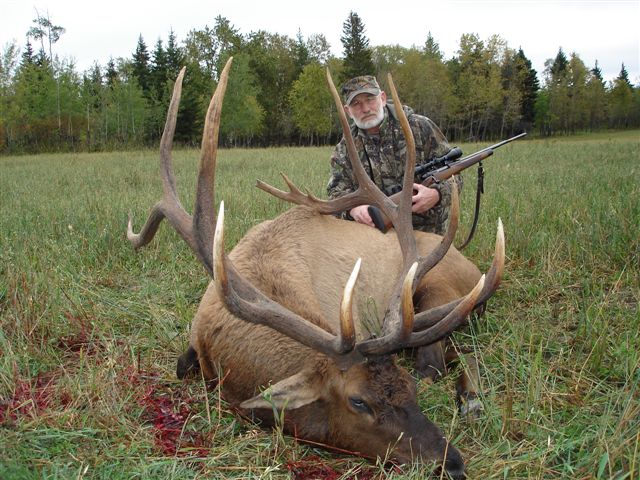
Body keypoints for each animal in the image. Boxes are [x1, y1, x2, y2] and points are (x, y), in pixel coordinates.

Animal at [127, 58, 505, 479]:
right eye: (359, 401)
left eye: (407, 388)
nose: (452, 462)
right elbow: (182, 365)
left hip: (438, 290)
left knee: (445, 357)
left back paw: (471, 400)